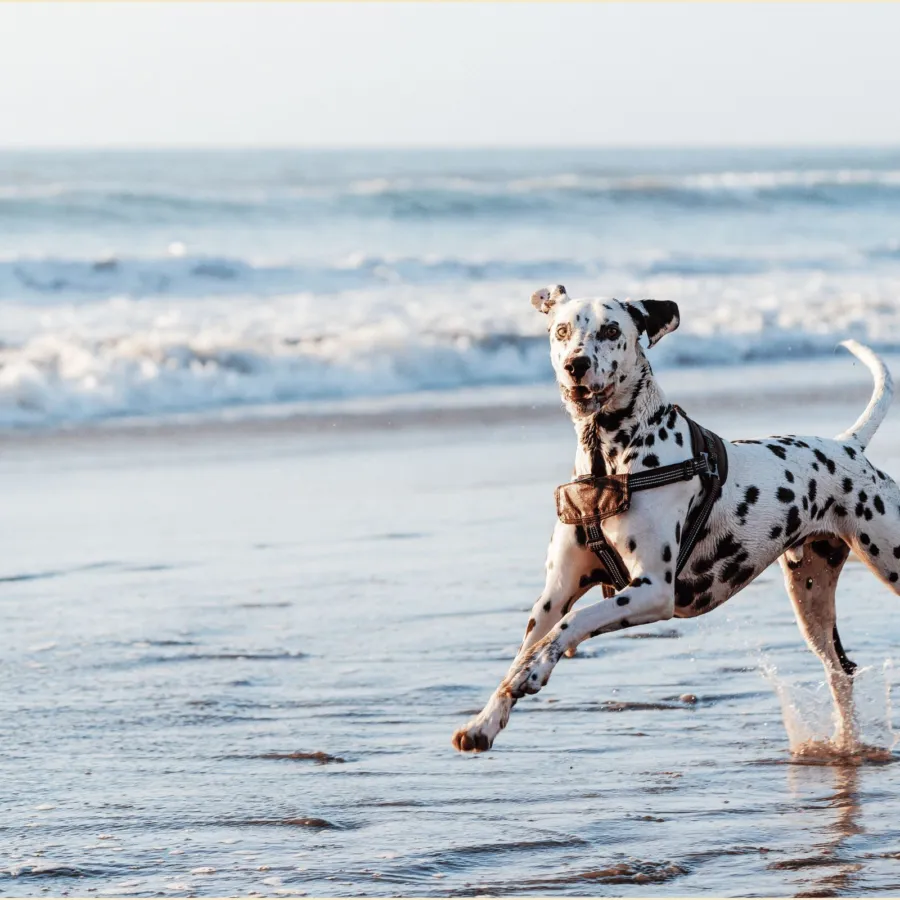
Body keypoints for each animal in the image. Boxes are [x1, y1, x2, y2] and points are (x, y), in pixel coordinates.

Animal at [454, 284, 896, 756]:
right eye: (562, 330)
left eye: (611, 330)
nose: (576, 364)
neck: (608, 462)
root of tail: (846, 446)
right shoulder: (554, 595)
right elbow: (528, 646)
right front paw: (485, 721)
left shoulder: (651, 590)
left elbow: (575, 623)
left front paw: (536, 669)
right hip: (810, 595)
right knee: (840, 670)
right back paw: (844, 743)